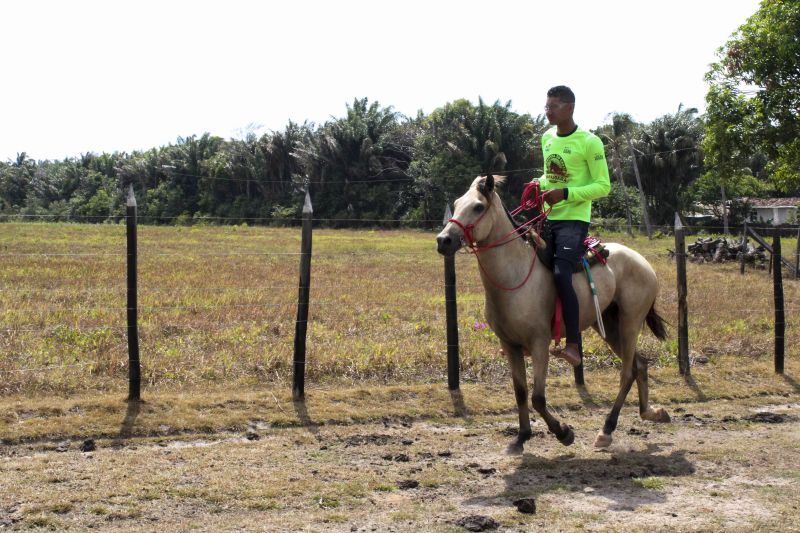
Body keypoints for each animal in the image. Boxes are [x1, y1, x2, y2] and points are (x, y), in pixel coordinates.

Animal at [438, 175, 668, 454]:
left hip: (630, 323)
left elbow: (537, 397)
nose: (443, 240)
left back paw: (606, 430)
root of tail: (643, 263)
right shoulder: (510, 345)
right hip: (610, 327)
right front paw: (521, 437)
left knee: (627, 373)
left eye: (478, 207)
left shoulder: (539, 343)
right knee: (640, 364)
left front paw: (564, 432)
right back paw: (650, 413)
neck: (514, 275)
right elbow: (520, 392)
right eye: (456, 204)